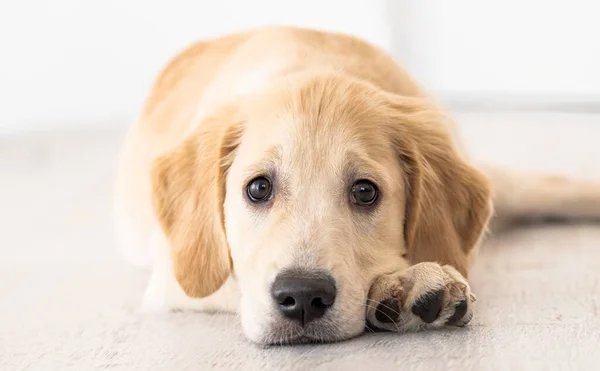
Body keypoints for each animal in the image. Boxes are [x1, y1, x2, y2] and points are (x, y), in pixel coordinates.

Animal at [113, 26, 600, 346]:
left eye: (365, 192)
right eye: (257, 189)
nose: (302, 297)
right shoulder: (174, 276)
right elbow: (235, 280)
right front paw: (403, 285)